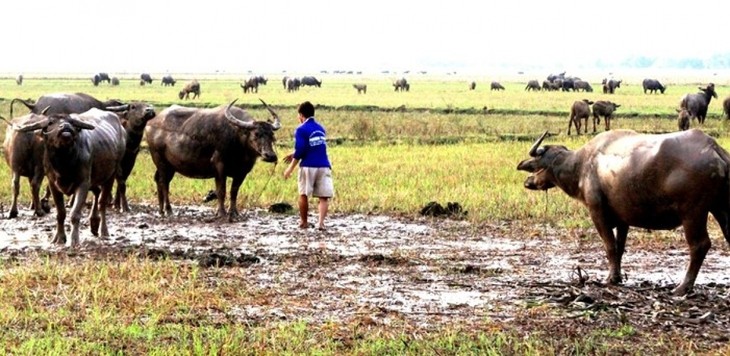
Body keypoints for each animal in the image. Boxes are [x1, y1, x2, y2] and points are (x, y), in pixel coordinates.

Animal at [14, 108, 126, 248]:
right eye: (50, 122)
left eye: (71, 122)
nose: (65, 127)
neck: (64, 162)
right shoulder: (53, 184)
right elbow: (61, 213)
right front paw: (59, 238)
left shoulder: (83, 183)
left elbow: (75, 214)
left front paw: (74, 240)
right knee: (97, 192)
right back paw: (94, 223)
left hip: (110, 175)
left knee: (102, 202)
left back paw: (103, 231)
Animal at [144, 97, 280, 220]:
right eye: (256, 134)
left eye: (272, 135)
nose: (270, 155)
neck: (238, 139)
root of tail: (152, 123)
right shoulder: (219, 167)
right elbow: (221, 191)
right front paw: (221, 213)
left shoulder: (242, 172)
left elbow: (234, 191)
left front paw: (234, 212)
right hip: (160, 161)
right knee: (164, 183)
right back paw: (168, 210)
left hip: (170, 166)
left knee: (159, 181)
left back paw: (161, 210)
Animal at [516, 129, 728, 296]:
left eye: (538, 165)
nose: (527, 182)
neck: (581, 165)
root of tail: (714, 149)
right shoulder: (622, 219)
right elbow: (620, 247)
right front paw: (617, 276)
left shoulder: (597, 212)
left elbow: (610, 246)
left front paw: (610, 278)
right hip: (721, 208)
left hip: (693, 213)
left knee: (699, 245)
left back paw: (682, 287)